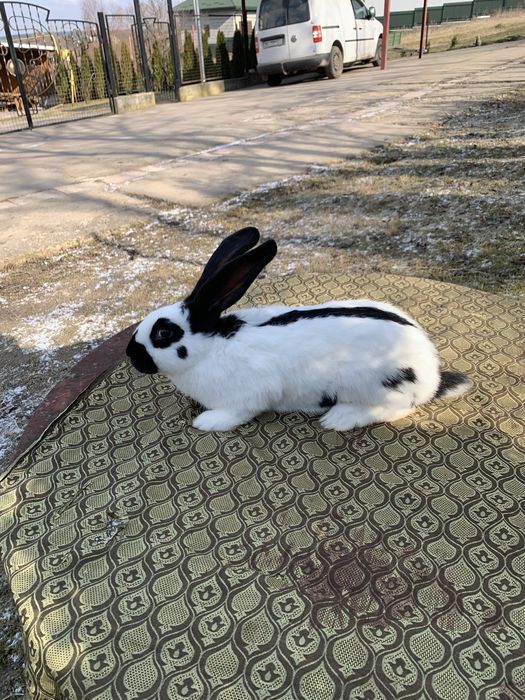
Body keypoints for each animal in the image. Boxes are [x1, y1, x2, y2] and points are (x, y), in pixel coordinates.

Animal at [126, 227, 472, 432]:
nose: (131, 355)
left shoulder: (250, 394)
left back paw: (340, 418)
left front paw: (206, 421)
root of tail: (432, 376)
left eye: (164, 334)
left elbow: (236, 413)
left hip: (382, 387)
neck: (211, 346)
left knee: (396, 409)